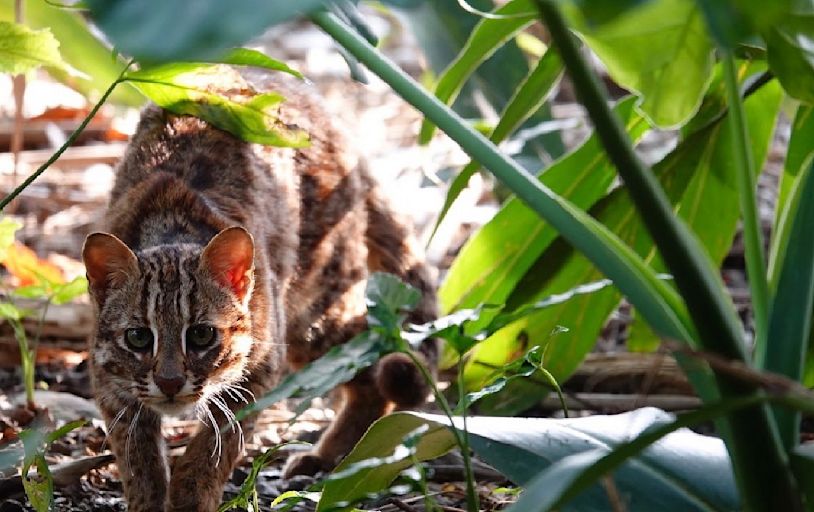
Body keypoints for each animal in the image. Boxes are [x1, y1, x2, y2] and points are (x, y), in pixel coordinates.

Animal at [81, 69, 440, 512]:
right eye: (137, 337)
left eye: (202, 335)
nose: (169, 383)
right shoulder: (110, 382)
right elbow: (139, 461)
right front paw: (149, 499)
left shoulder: (260, 369)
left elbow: (209, 454)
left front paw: (190, 498)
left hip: (317, 305)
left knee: (373, 364)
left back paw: (338, 460)